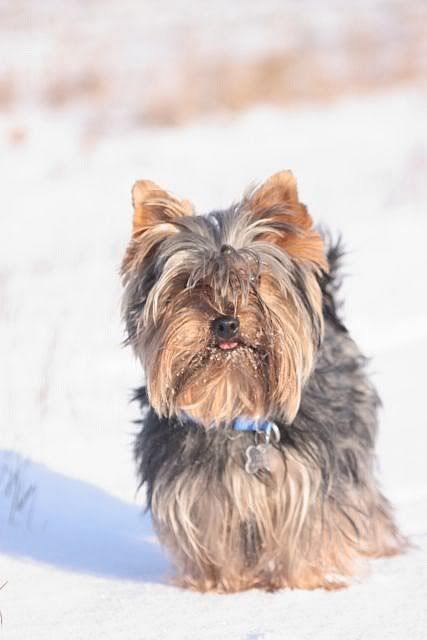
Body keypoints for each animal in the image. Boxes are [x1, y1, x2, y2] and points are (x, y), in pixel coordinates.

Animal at [121, 171, 404, 592]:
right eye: (190, 283)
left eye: (254, 279)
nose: (226, 322)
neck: (234, 401)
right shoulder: (195, 494)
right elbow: (214, 542)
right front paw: (222, 586)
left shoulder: (310, 482)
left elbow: (310, 532)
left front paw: (305, 583)